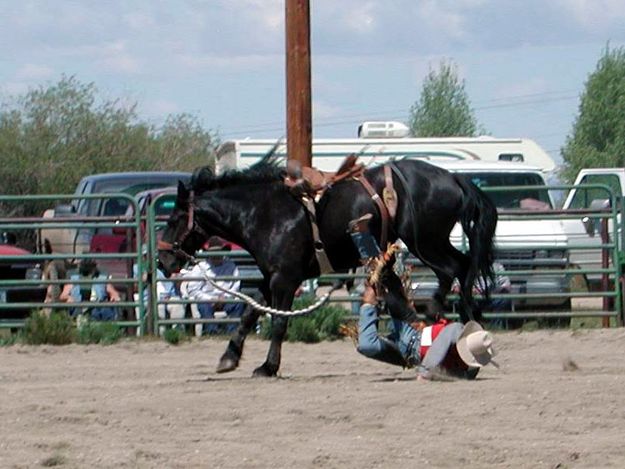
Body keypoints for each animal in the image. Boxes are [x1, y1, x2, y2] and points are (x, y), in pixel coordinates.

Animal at [158, 157, 494, 376]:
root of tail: (453, 178)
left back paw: (441, 315)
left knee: (453, 269)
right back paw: (466, 323)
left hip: (424, 241)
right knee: (462, 267)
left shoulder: (285, 279)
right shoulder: (269, 278)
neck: (265, 212)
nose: (163, 261)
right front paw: (229, 357)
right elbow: (249, 313)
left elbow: (278, 323)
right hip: (429, 241)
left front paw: (268, 366)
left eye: (175, 218)